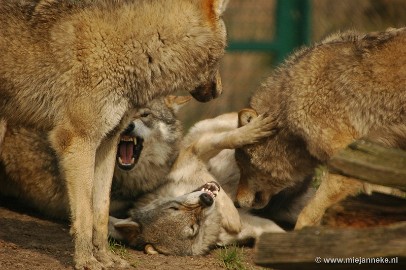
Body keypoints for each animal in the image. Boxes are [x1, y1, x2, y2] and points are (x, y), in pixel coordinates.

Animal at [0, 0, 228, 268]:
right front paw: (86, 260)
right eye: (223, 52)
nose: (219, 90)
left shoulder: (108, 144)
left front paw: (106, 258)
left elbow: (100, 212)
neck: (134, 47)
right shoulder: (78, 141)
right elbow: (84, 215)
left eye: (146, 115)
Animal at [109, 111, 284, 255]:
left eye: (174, 207)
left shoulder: (194, 153)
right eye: (194, 227)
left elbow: (226, 140)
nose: (206, 200)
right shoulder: (252, 225)